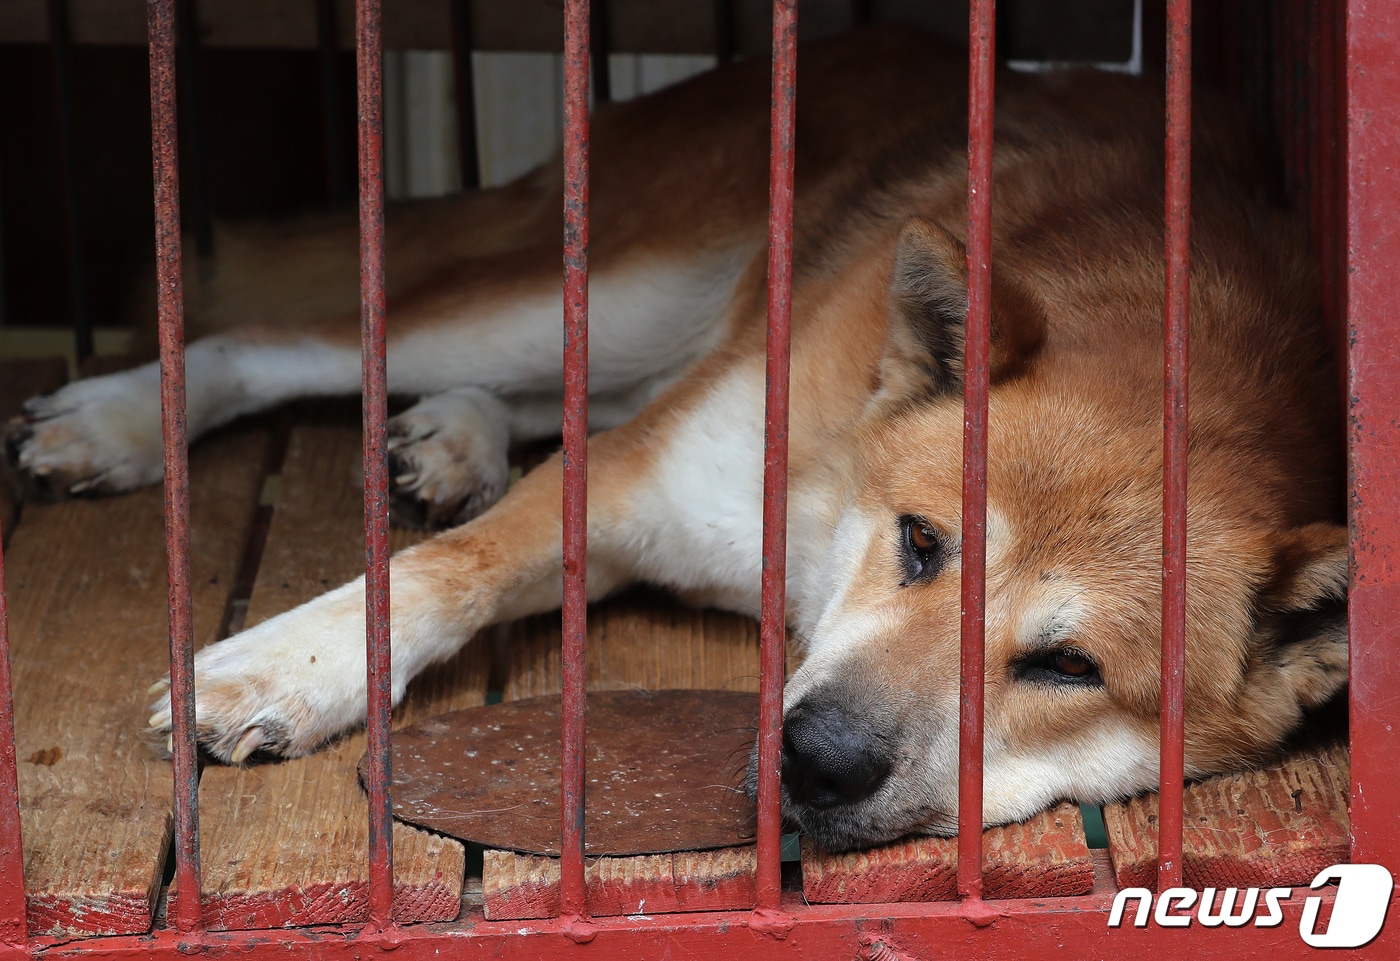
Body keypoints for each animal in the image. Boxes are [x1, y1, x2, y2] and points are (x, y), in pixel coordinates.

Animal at [5, 26, 1349, 857]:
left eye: (1066, 666)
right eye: (922, 541)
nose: (814, 758)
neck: (819, 538)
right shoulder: (641, 479)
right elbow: (445, 572)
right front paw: (287, 664)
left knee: (545, 391)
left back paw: (452, 438)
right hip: (611, 280)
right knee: (295, 335)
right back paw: (118, 414)